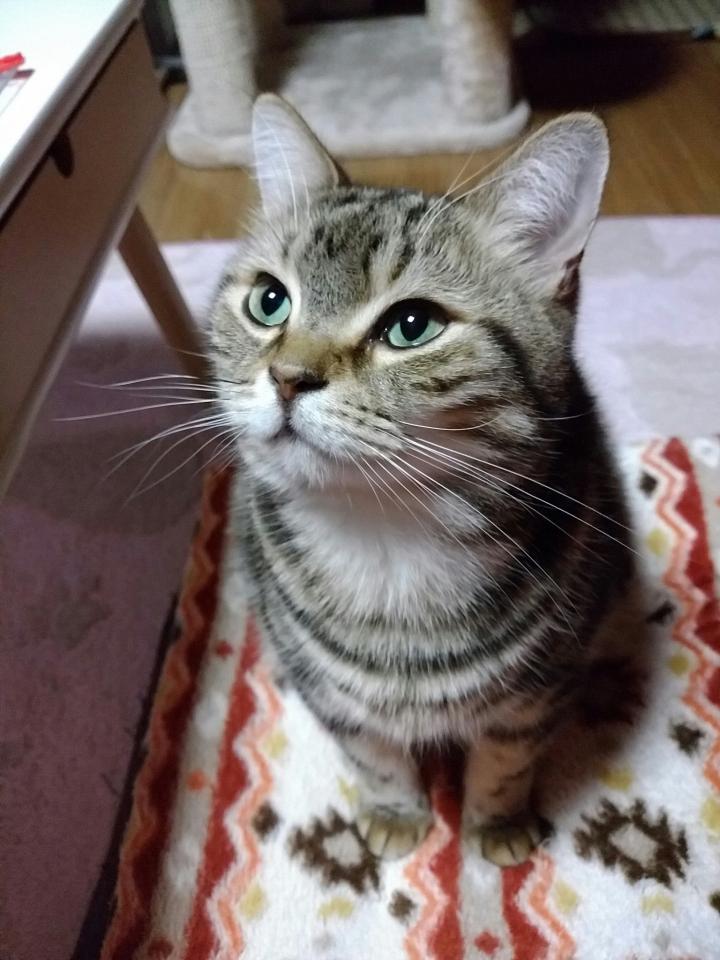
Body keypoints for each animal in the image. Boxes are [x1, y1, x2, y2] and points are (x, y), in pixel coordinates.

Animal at [208, 95, 632, 865]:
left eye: (412, 325)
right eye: (269, 301)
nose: (287, 376)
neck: (385, 539)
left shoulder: (539, 689)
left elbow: (506, 758)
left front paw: (497, 825)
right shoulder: (336, 698)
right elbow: (372, 753)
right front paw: (398, 814)